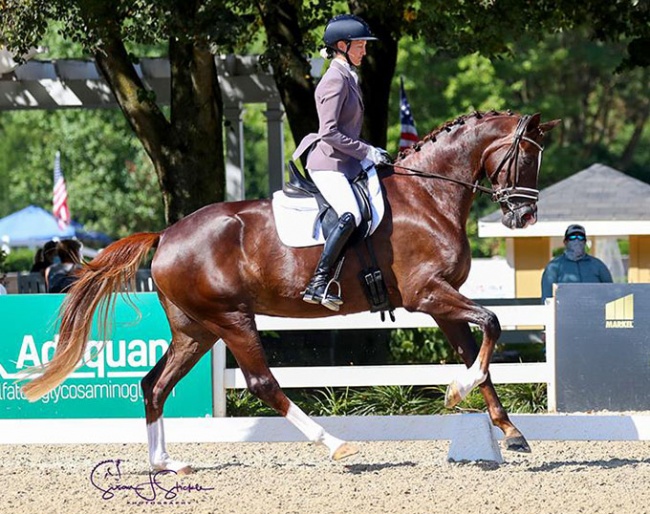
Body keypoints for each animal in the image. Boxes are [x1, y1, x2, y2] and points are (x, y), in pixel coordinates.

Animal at [21, 110, 556, 470]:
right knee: (262, 383)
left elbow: (477, 354)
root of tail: (166, 234)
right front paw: (456, 393)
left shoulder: (441, 303)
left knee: (154, 385)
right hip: (232, 320)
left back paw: (166, 463)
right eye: (526, 156)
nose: (524, 217)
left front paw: (510, 431)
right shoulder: (428, 294)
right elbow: (492, 324)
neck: (428, 195)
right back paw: (334, 444)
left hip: (196, 330)